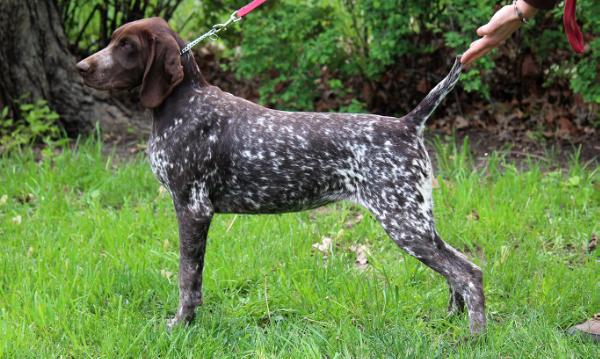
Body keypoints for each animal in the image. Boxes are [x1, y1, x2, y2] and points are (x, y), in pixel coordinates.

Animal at [76, 17, 488, 334]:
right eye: (113, 40)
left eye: (127, 46)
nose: (81, 67)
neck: (182, 102)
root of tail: (407, 124)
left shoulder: (192, 209)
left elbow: (187, 279)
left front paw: (182, 325)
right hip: (416, 219)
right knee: (457, 270)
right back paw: (449, 320)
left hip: (403, 222)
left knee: (468, 273)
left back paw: (474, 337)